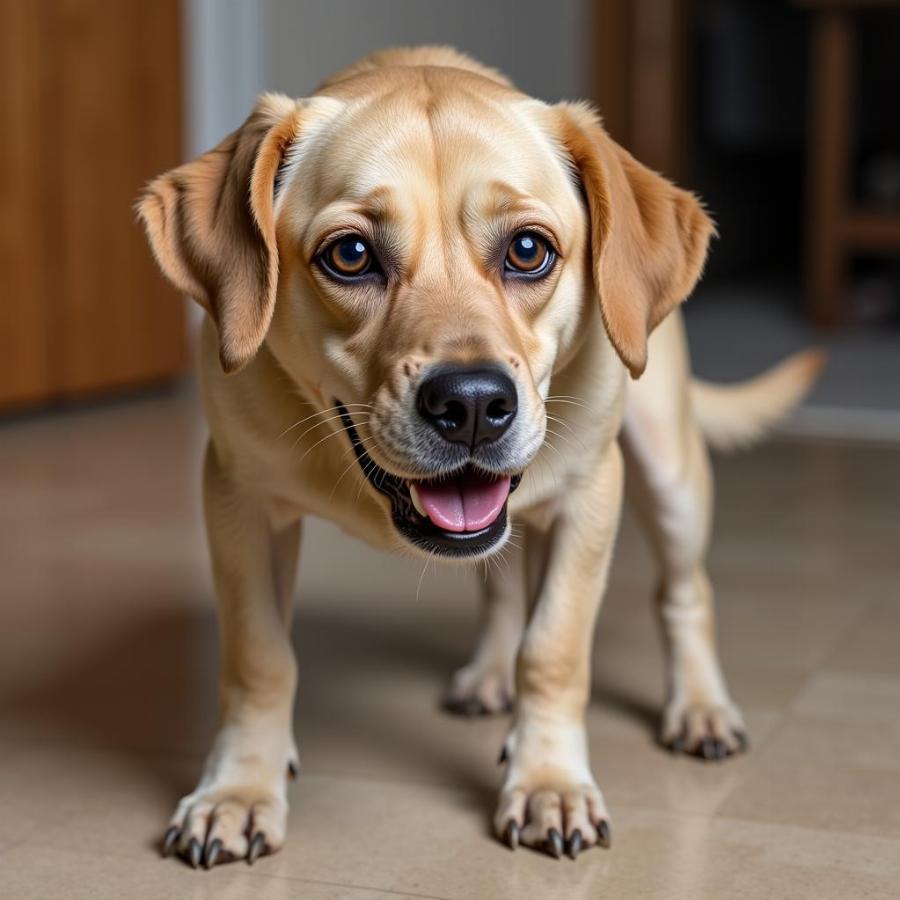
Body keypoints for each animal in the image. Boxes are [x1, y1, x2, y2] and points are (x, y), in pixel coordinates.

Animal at [135, 47, 824, 864]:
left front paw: (550, 783)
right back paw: (490, 674)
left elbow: (553, 648)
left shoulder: (590, 496)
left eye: (528, 250)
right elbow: (259, 658)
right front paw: (239, 790)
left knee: (686, 594)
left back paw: (700, 707)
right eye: (351, 255)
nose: (470, 405)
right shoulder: (238, 501)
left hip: (670, 472)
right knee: (499, 588)